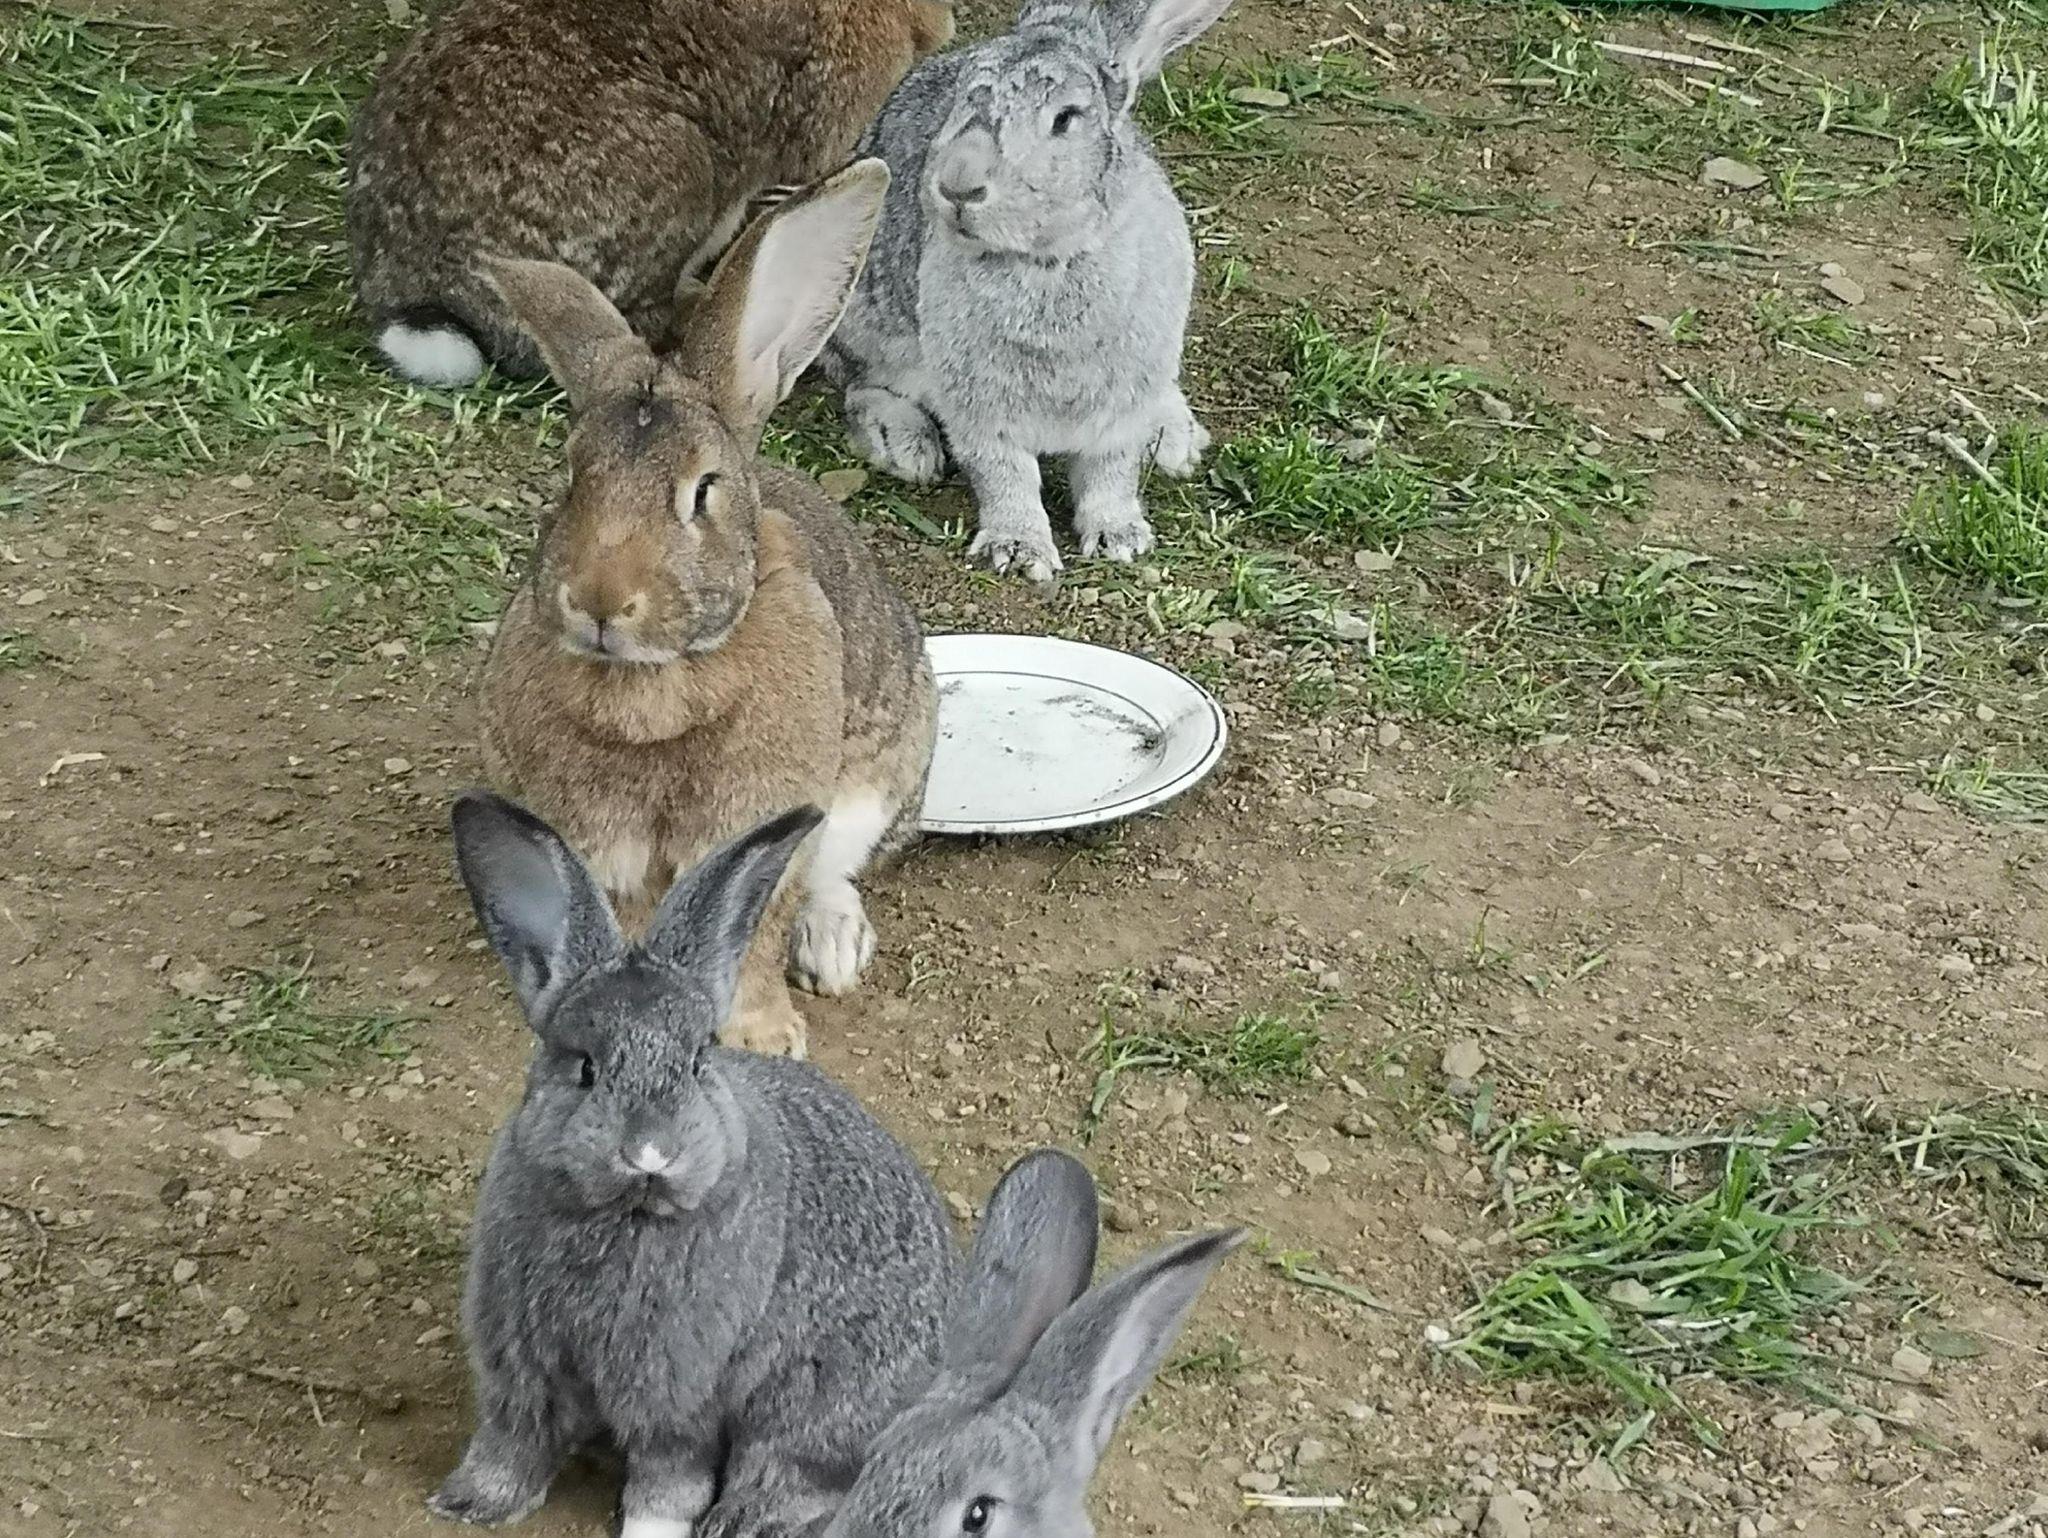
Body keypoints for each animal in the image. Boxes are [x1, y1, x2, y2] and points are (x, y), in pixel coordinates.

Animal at [432, 789, 958, 1536]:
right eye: (585, 1068)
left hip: (810, 1407)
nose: (650, 1151)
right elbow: (514, 1442)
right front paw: (470, 1502)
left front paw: (649, 1532)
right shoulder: (521, 1368)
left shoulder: (676, 1394)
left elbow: (668, 1478)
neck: (626, 1215)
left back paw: (742, 1520)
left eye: (700, 1060)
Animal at [474, 160, 938, 1062]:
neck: (657, 681)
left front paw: (764, 1039)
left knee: (836, 875)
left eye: (702, 492)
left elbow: (754, 933)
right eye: (571, 477)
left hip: (883, 775)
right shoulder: (600, 849)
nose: (600, 600)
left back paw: (832, 951)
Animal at [821, 0, 1236, 583]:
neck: (1048, 257)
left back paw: (1175, 437)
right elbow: (1005, 474)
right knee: (859, 381)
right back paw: (902, 443)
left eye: (1065, 119)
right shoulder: (982, 410)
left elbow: (1111, 471)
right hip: (866, 319)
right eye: (961, 98)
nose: (958, 183)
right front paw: (1019, 551)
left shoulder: (1123, 405)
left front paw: (1120, 536)